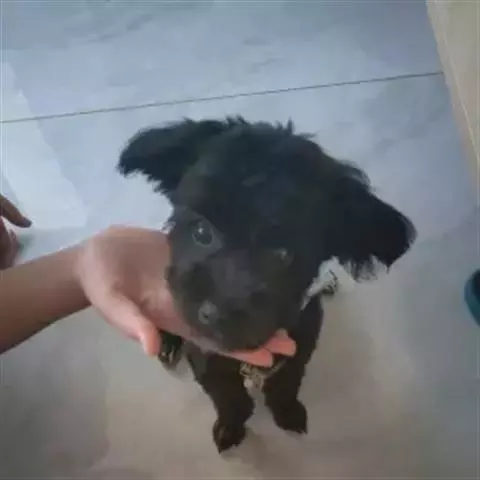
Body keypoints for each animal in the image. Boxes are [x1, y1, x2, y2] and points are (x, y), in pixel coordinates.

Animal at [118, 117, 416, 452]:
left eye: (282, 254)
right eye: (202, 231)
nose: (214, 314)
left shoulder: (300, 346)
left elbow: (285, 386)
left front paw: (288, 414)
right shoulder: (206, 356)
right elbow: (228, 397)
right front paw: (231, 426)